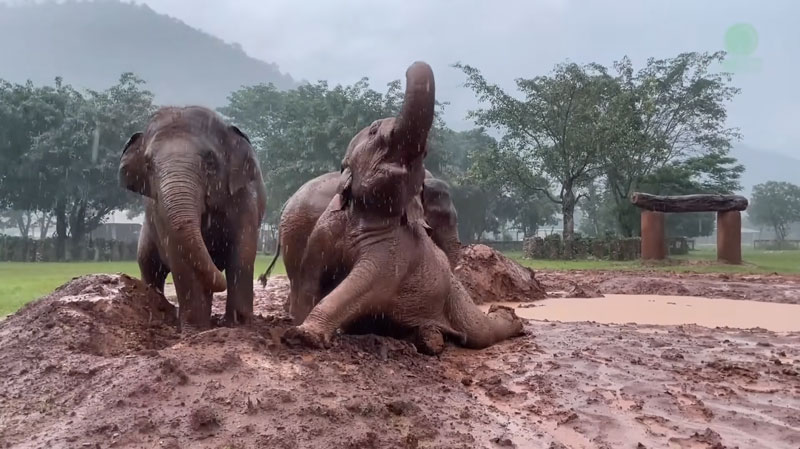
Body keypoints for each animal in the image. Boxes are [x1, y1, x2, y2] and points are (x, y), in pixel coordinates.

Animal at [119, 104, 268, 328]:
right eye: (148, 165)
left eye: (210, 161)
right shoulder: (160, 212)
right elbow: (179, 256)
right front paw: (196, 328)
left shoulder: (244, 199)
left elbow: (242, 252)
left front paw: (239, 324)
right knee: (149, 266)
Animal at [282, 60, 524, 354]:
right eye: (374, 131)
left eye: (423, 153)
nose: (410, 67)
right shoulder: (323, 230)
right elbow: (310, 275)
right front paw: (298, 332)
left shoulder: (395, 253)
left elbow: (363, 283)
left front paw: (304, 335)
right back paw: (429, 338)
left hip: (455, 298)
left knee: (481, 333)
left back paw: (502, 319)